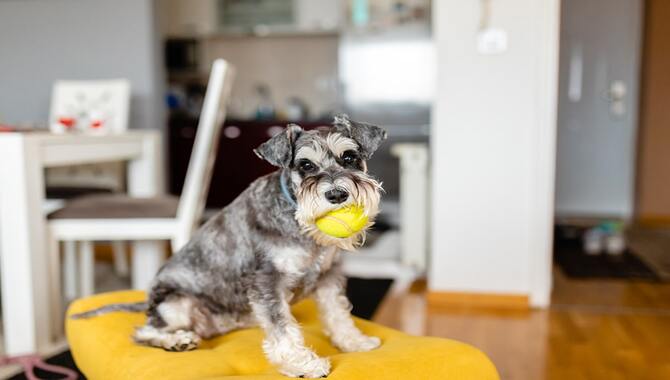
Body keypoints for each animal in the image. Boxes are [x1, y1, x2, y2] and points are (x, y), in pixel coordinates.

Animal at [72, 114, 388, 378]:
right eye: (305, 165)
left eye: (349, 157)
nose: (336, 194)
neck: (296, 219)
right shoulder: (266, 282)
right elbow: (282, 328)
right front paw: (303, 364)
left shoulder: (328, 277)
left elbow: (338, 313)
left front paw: (354, 341)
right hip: (176, 304)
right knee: (143, 331)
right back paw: (177, 340)